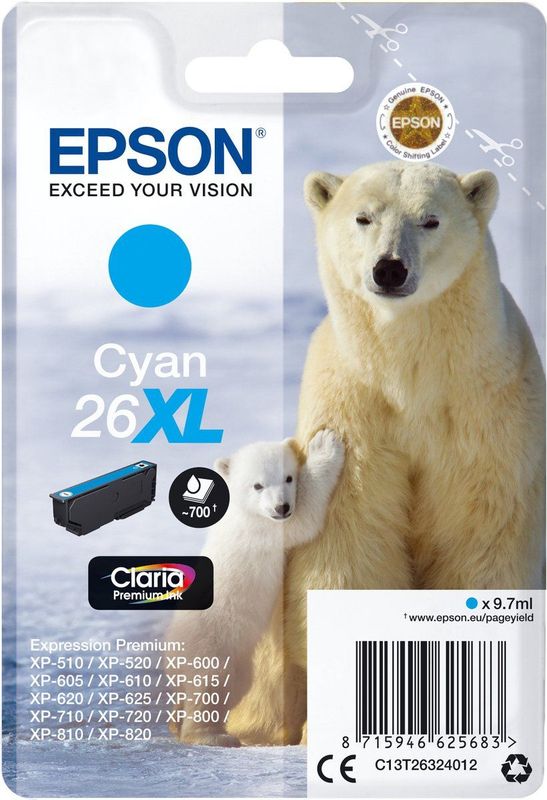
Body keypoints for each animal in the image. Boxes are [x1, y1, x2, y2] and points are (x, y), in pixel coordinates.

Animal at [166, 429, 345, 747]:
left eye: (288, 477)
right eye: (258, 485)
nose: (281, 507)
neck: (242, 510)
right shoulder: (262, 529)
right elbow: (305, 517)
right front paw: (324, 445)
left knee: (234, 685)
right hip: (212, 641)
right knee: (209, 683)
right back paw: (212, 736)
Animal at [228, 161, 545, 746]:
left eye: (430, 219)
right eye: (363, 217)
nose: (389, 269)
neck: (411, 375)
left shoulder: (488, 409)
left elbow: (481, 535)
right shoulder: (354, 407)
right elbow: (349, 537)